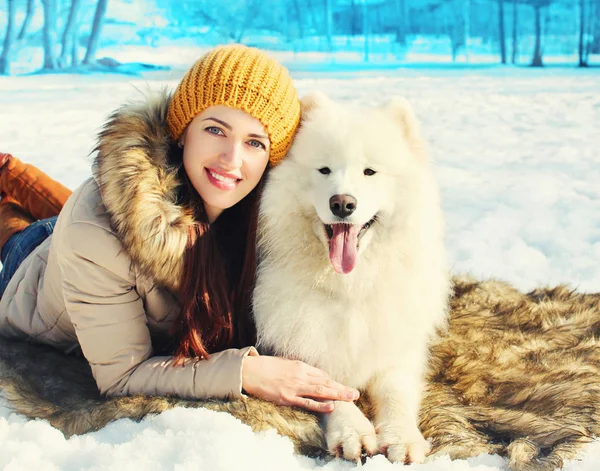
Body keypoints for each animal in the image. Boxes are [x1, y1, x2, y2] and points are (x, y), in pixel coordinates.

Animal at [253, 92, 450, 464]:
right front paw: (352, 432)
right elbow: (329, 388)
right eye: (324, 169)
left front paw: (402, 437)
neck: (351, 288)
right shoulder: (304, 342)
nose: (342, 203)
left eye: (369, 171)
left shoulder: (397, 346)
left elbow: (396, 392)